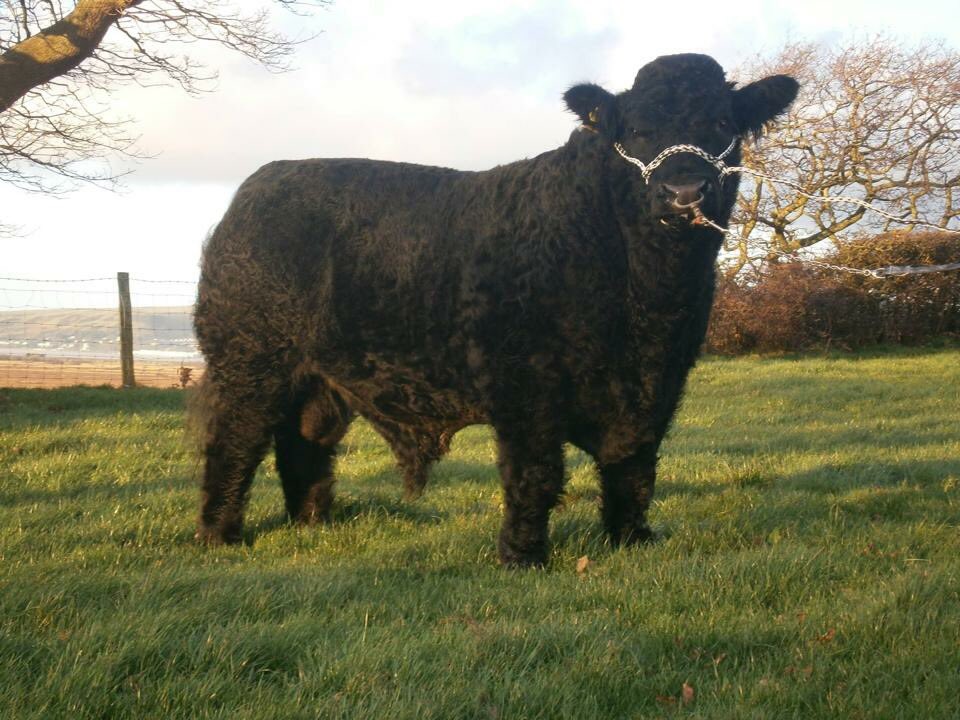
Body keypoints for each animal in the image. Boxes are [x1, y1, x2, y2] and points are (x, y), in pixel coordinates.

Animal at [192, 53, 798, 567]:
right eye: (637, 131)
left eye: (721, 123)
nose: (684, 191)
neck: (647, 298)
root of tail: (261, 182)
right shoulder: (524, 381)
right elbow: (535, 472)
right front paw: (523, 556)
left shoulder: (660, 383)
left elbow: (635, 467)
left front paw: (631, 539)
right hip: (250, 362)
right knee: (236, 442)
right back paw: (220, 535)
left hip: (318, 378)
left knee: (304, 443)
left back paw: (314, 523)